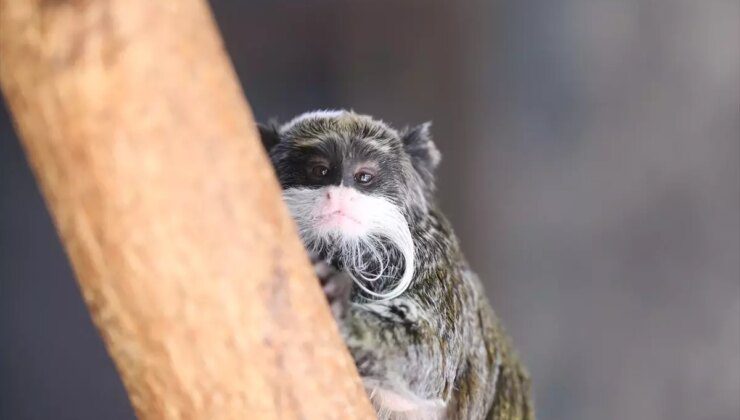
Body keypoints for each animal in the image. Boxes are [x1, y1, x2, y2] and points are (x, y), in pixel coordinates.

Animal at [260, 110, 532, 418]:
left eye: (364, 177)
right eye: (320, 171)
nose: (338, 196)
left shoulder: (435, 261)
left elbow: (430, 357)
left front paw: (343, 311)